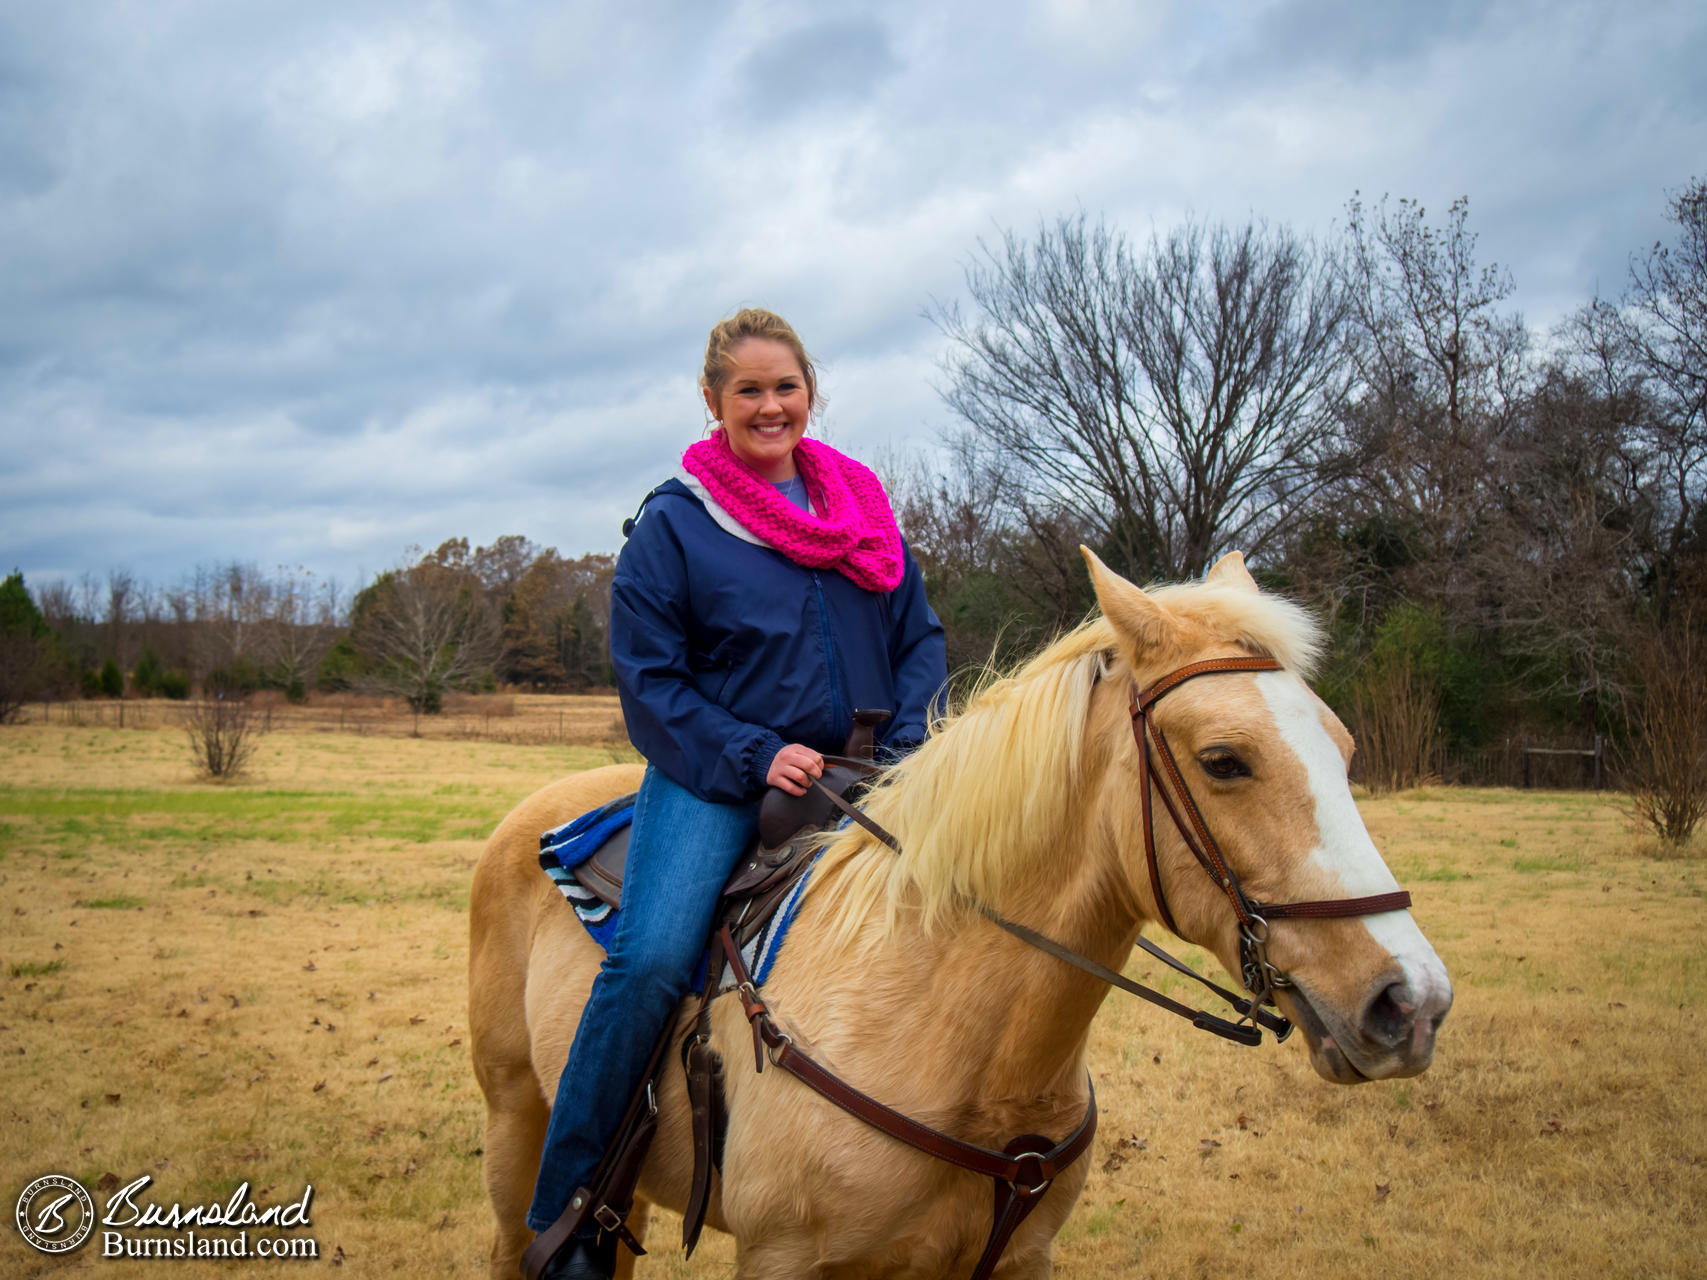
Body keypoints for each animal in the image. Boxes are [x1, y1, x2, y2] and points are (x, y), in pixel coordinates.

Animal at [471, 552, 1454, 1280]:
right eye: (1223, 761)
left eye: (1344, 747)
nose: (1409, 1003)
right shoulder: (784, 1258)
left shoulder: (1014, 1261)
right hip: (518, 1128)